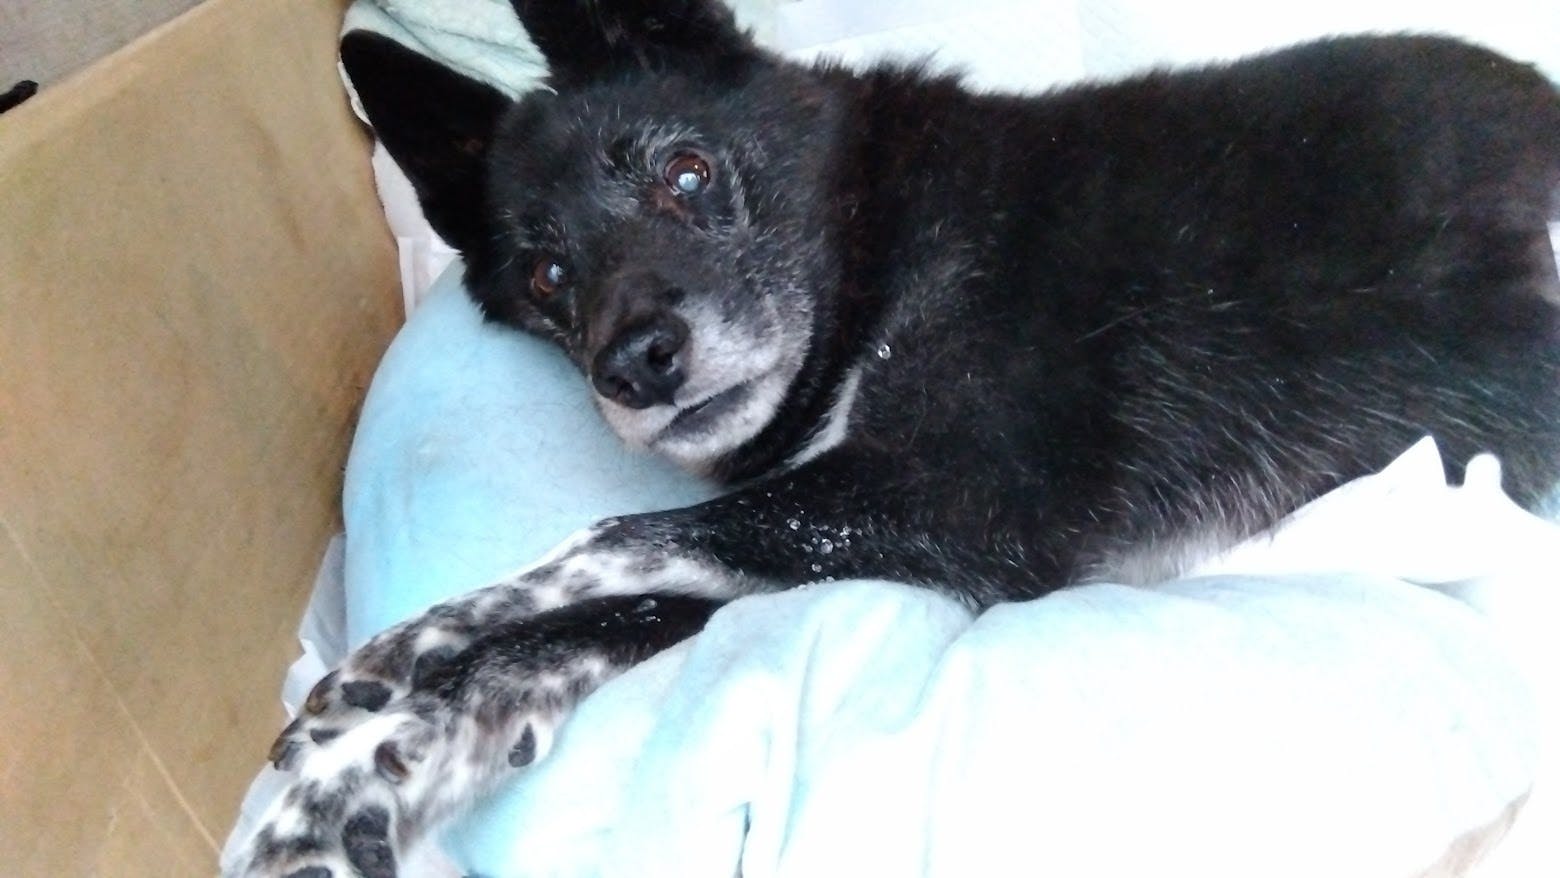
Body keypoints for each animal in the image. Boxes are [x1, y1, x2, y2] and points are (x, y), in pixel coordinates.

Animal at [233, 2, 1560, 874]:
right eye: (549, 274)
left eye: (687, 173)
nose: (637, 365)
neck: (872, 248)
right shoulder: (854, 528)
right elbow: (603, 613)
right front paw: (370, 770)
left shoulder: (965, 498)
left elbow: (605, 536)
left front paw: (396, 663)